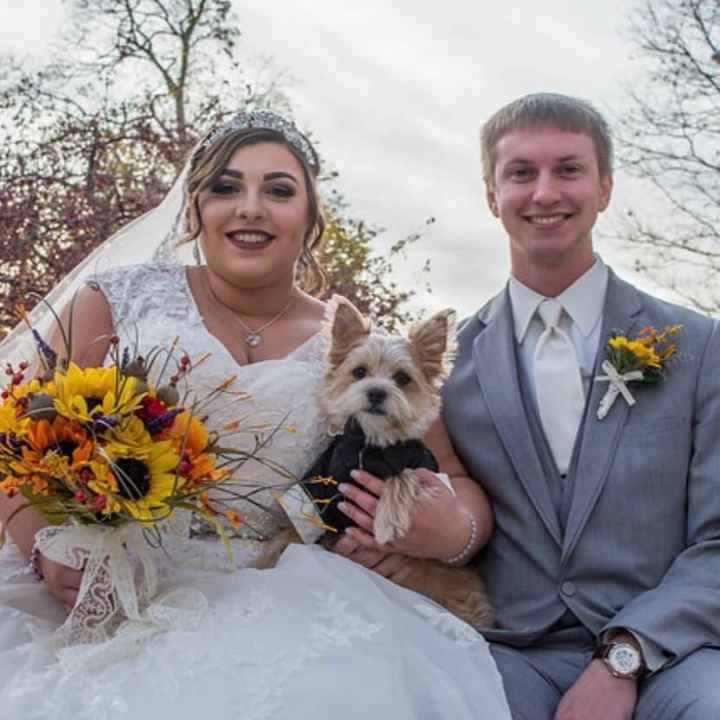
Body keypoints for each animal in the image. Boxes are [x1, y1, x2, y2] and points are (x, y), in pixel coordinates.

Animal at [272, 296, 496, 628]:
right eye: (359, 372)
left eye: (403, 379)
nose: (376, 392)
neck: (370, 445)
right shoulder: (318, 487)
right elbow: (294, 531)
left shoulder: (423, 467)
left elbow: (402, 477)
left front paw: (387, 522)